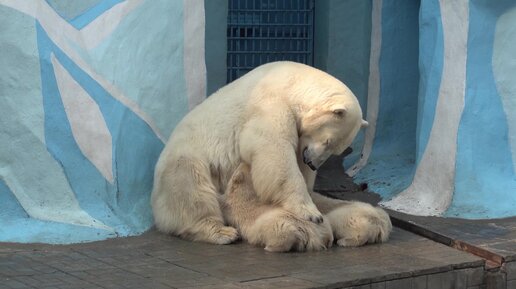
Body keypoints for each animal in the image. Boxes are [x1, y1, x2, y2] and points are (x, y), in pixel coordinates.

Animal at [150, 60, 370, 243]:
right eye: (328, 141)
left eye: (337, 149)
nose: (313, 163)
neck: (295, 83)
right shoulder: (271, 104)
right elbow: (275, 150)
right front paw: (311, 213)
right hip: (187, 158)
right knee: (191, 189)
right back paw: (222, 232)